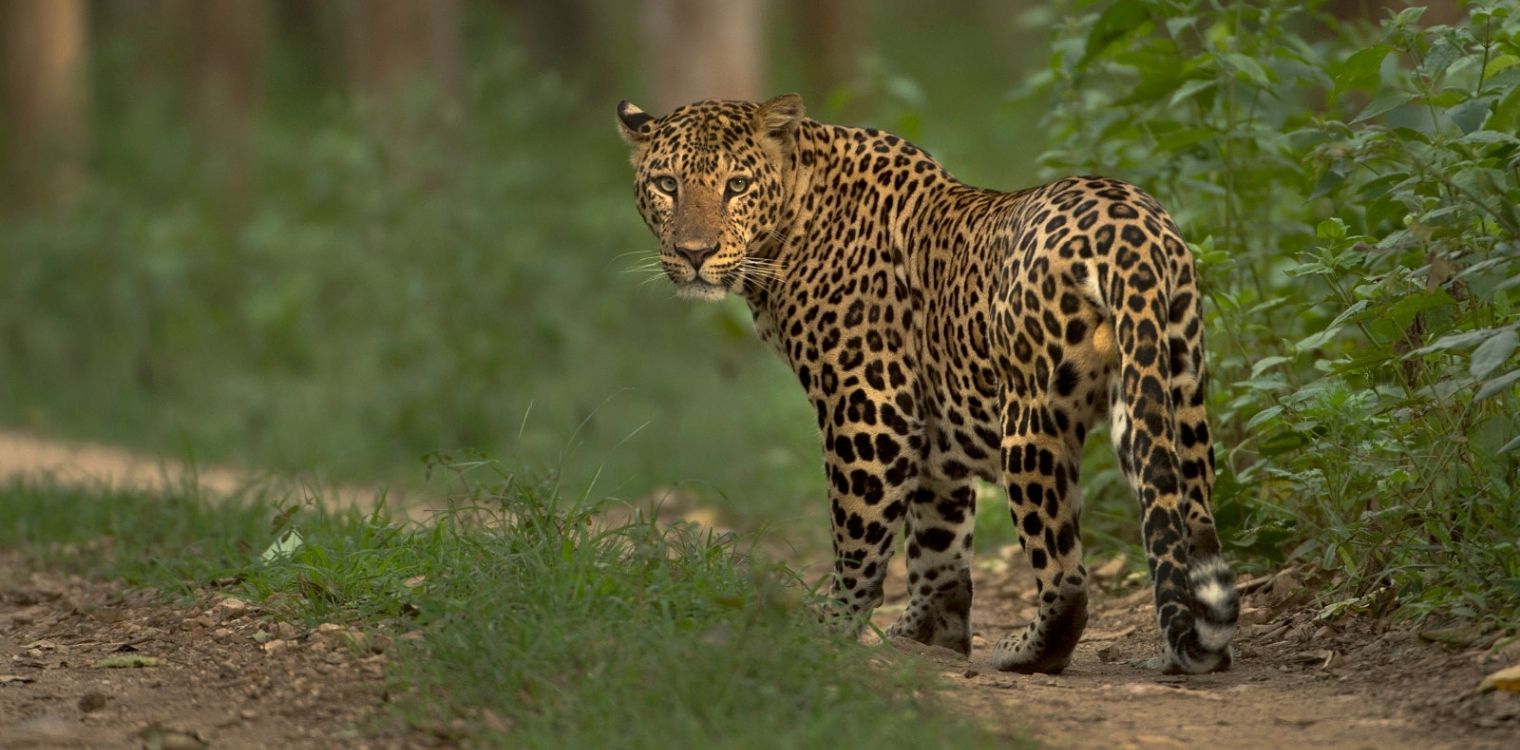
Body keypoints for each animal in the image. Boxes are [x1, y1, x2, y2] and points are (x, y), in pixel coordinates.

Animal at [615, 93, 1239, 674]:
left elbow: (859, 533)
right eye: (668, 184)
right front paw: (929, 634)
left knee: (1065, 574)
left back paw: (1028, 651)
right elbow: (938, 537)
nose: (694, 253)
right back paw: (1193, 647)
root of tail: (1132, 233)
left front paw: (830, 628)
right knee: (1188, 519)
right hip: (1171, 391)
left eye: (737, 185)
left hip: (1032, 419)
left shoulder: (870, 406)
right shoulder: (937, 425)